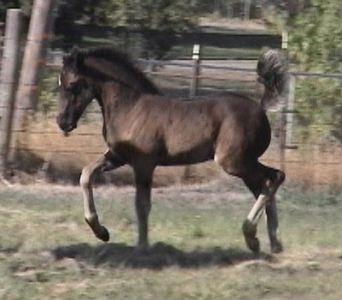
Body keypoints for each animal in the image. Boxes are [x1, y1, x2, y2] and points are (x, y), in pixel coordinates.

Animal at [57, 47, 288, 253]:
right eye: (60, 83)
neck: (131, 107)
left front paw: (142, 246)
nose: (62, 122)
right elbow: (86, 175)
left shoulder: (144, 164)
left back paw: (252, 234)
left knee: (276, 177)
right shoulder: (118, 156)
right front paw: (101, 232)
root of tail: (260, 108)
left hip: (234, 162)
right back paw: (270, 243)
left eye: (72, 84)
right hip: (243, 164)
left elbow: (142, 205)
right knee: (265, 186)